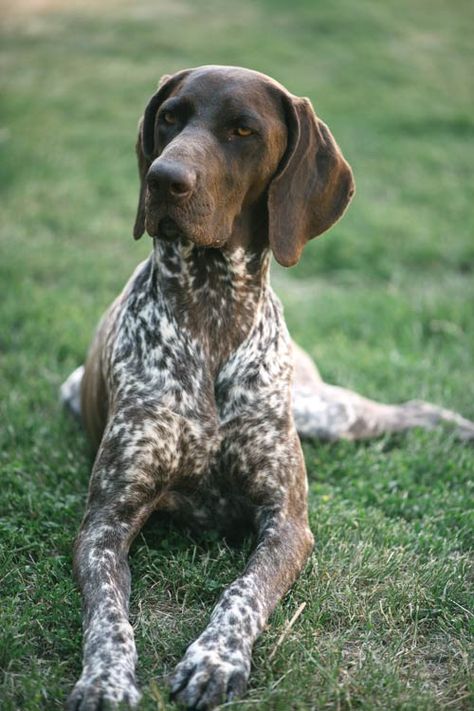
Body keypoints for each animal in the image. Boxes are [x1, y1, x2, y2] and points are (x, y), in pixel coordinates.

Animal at [62, 64, 474, 708]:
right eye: (169, 118)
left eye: (243, 130)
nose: (162, 179)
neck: (212, 307)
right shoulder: (105, 523)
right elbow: (108, 613)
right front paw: (105, 678)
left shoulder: (287, 523)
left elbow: (243, 593)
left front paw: (215, 658)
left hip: (327, 412)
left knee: (407, 408)